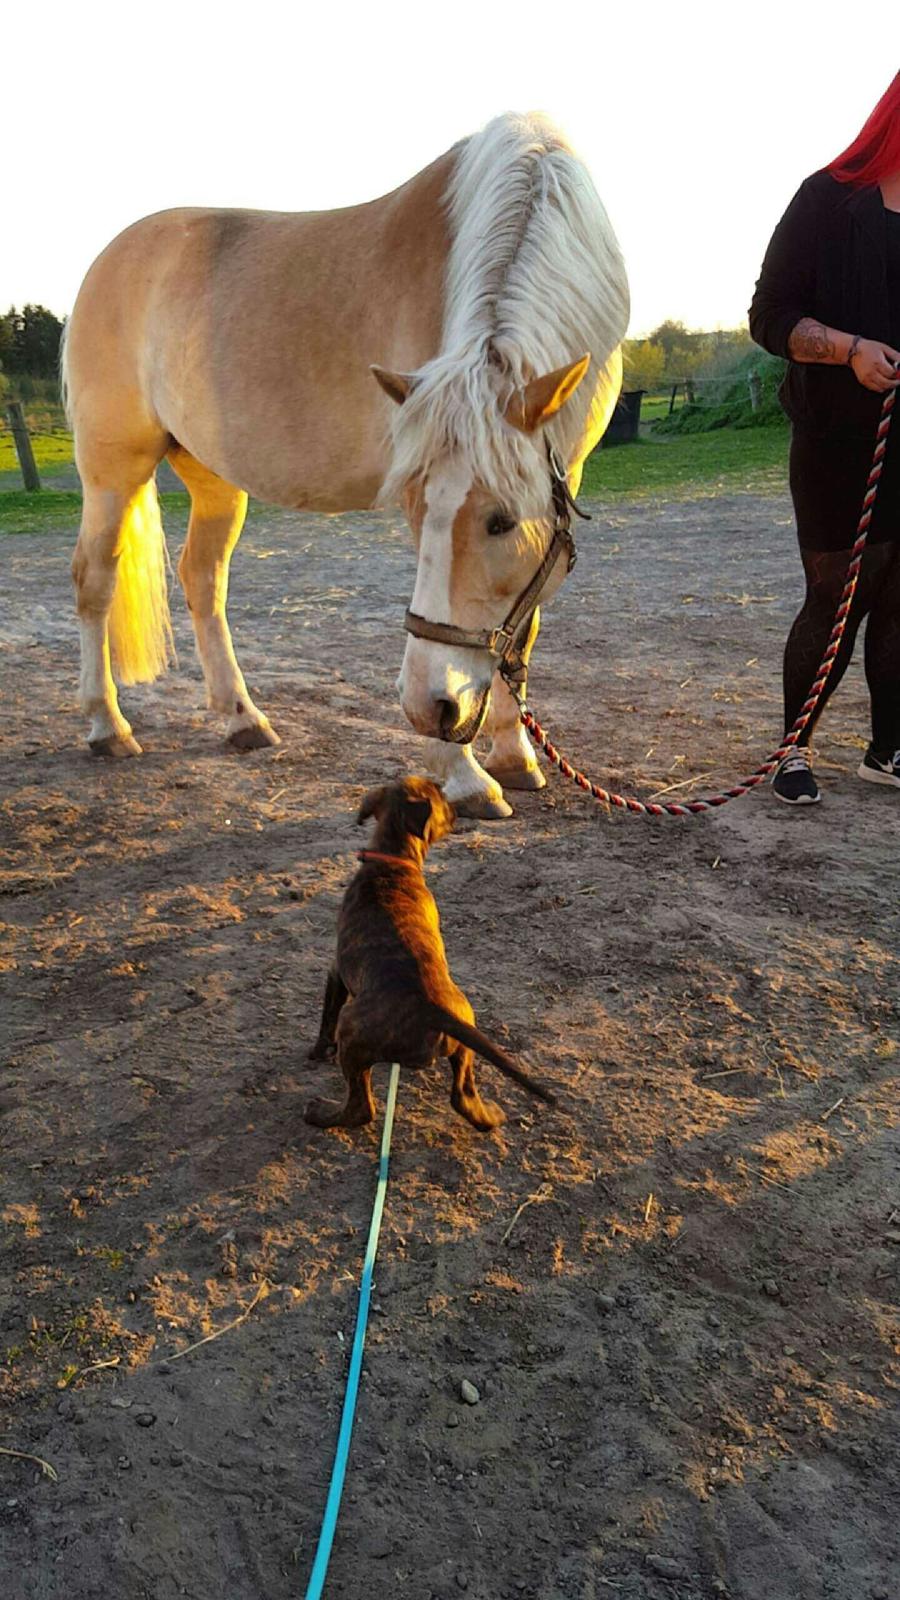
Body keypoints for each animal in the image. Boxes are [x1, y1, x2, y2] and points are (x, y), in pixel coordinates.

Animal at [63, 109, 627, 825]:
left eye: (501, 522)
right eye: (411, 511)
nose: (430, 706)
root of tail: (107, 260)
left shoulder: (560, 480)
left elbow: (520, 630)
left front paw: (514, 754)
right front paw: (465, 775)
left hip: (213, 478)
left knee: (201, 579)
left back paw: (241, 717)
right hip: (113, 469)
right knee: (95, 580)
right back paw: (106, 724)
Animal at [304, 777, 550, 1132]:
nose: (457, 807)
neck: (392, 859)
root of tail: (432, 1010)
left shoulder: (336, 973)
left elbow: (327, 1017)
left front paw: (318, 1051)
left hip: (352, 1029)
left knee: (361, 1107)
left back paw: (321, 1114)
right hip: (465, 1039)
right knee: (463, 1095)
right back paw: (490, 1116)